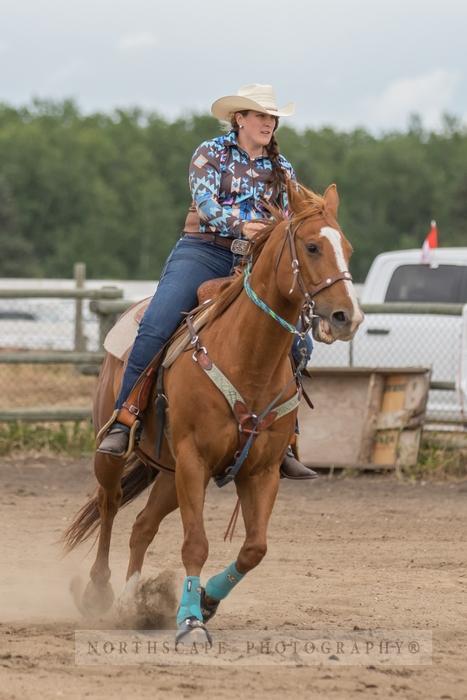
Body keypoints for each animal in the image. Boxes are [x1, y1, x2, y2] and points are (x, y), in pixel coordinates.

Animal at [64, 182, 364, 644]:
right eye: (313, 246)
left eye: (346, 247)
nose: (347, 316)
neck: (247, 357)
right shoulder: (194, 460)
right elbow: (196, 543)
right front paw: (190, 622)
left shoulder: (260, 470)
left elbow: (254, 548)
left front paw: (206, 601)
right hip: (116, 454)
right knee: (109, 504)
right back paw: (100, 591)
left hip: (168, 474)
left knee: (142, 526)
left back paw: (134, 602)